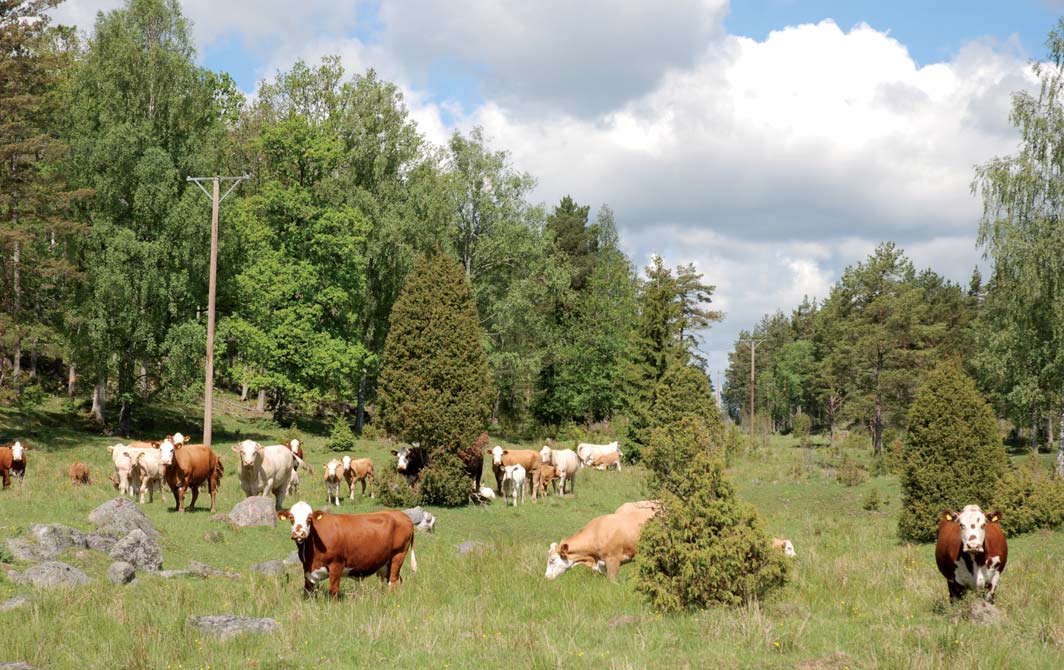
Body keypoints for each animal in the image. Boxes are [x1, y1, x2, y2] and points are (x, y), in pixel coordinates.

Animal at [276, 501, 417, 599]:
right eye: (291, 518)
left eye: (309, 518)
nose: (298, 534)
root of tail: (402, 515)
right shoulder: (307, 569)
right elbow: (308, 591)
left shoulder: (336, 564)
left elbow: (333, 590)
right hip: (387, 563)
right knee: (397, 580)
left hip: (398, 554)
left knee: (393, 582)